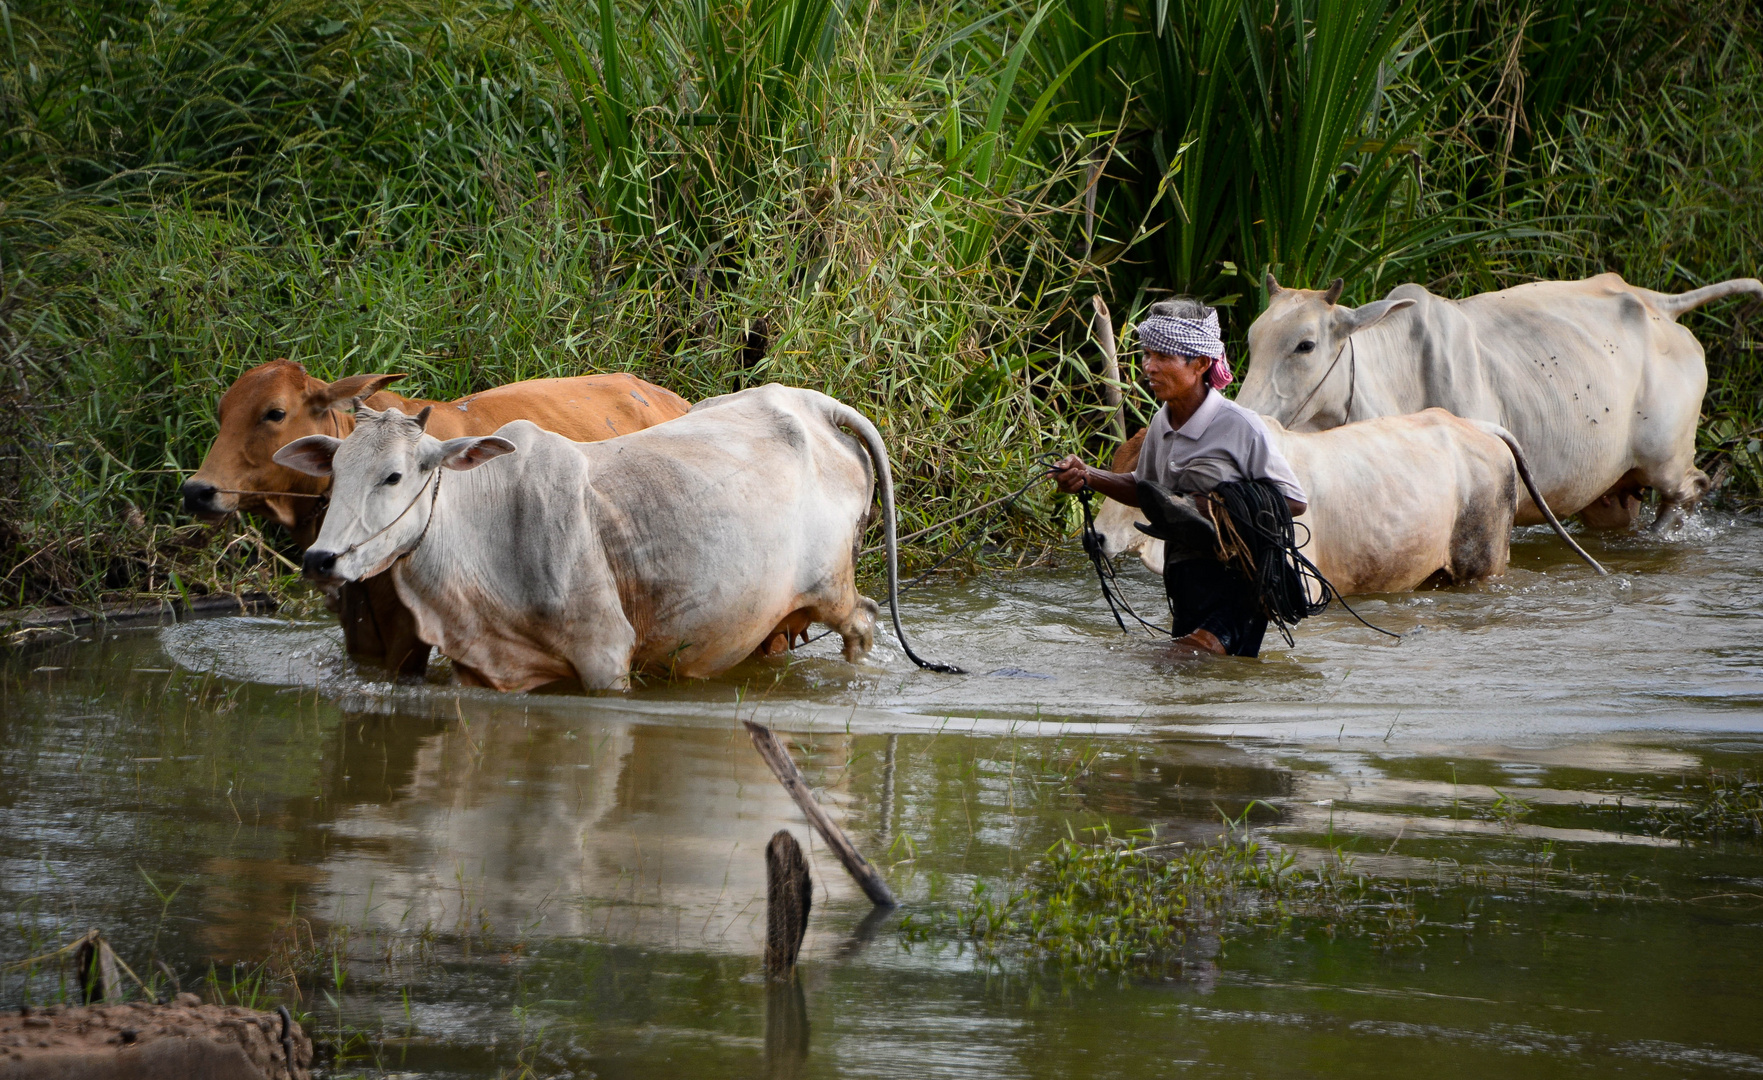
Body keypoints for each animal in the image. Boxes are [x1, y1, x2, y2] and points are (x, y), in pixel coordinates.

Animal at [271, 385, 937, 690]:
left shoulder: (605, 656)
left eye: (394, 475)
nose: (320, 559)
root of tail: (813, 404)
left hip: (832, 589)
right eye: (334, 476)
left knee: (864, 622)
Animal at [1241, 271, 1763, 528]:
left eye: (1305, 345)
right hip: (1608, 492)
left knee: (1690, 491)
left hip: (1667, 461)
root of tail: (1659, 305)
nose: (1249, 415)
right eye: (1250, 339)